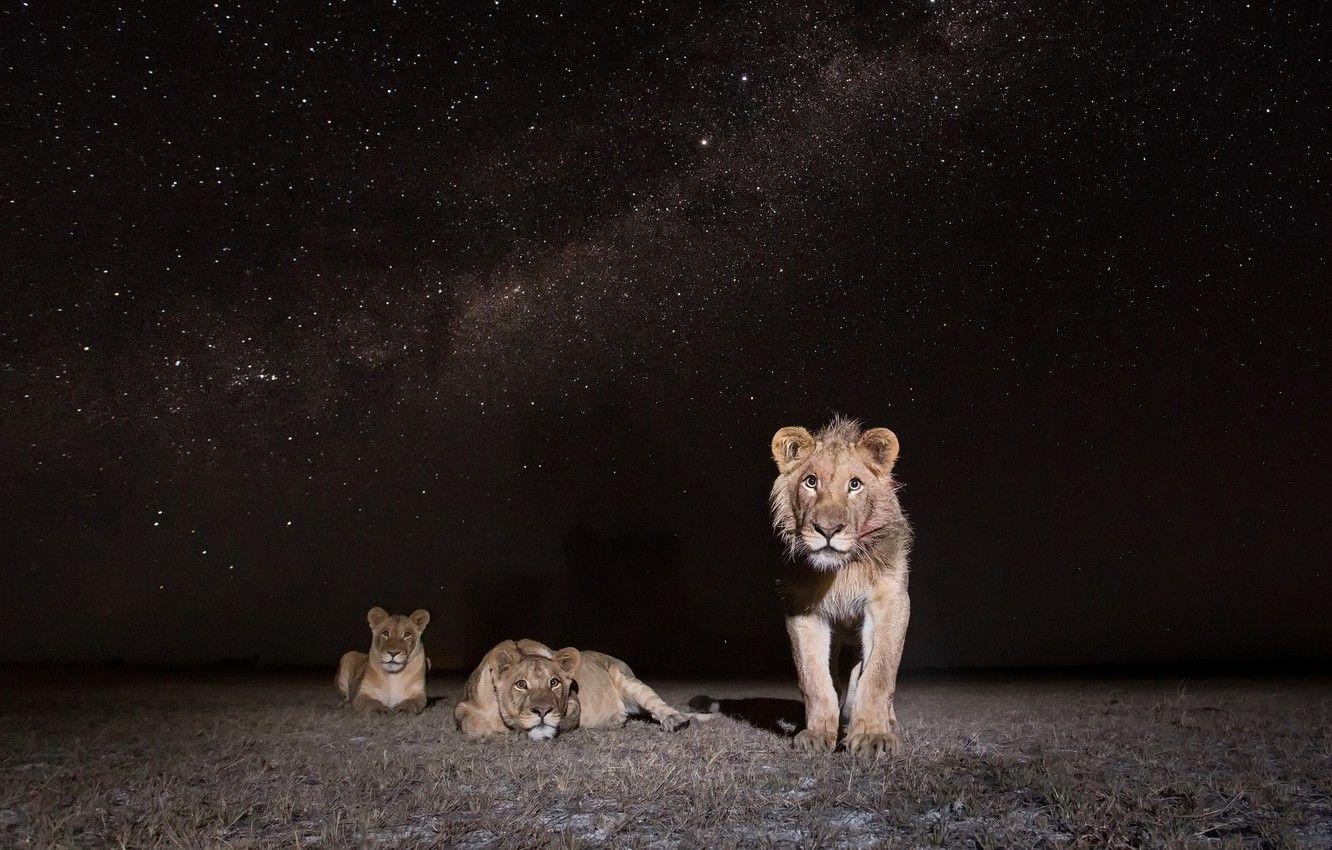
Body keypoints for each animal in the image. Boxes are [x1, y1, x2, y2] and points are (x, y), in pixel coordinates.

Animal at [454, 639, 689, 740]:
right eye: (521, 684)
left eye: (554, 682)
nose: (542, 711)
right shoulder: (462, 705)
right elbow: (471, 725)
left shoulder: (574, 701)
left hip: (625, 678)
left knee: (655, 703)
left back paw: (674, 719)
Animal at [770, 417, 912, 756]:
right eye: (810, 482)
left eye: (855, 484)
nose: (828, 529)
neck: (842, 572)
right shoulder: (802, 610)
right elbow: (815, 680)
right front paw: (817, 733)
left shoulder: (889, 603)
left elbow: (878, 675)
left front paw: (873, 736)